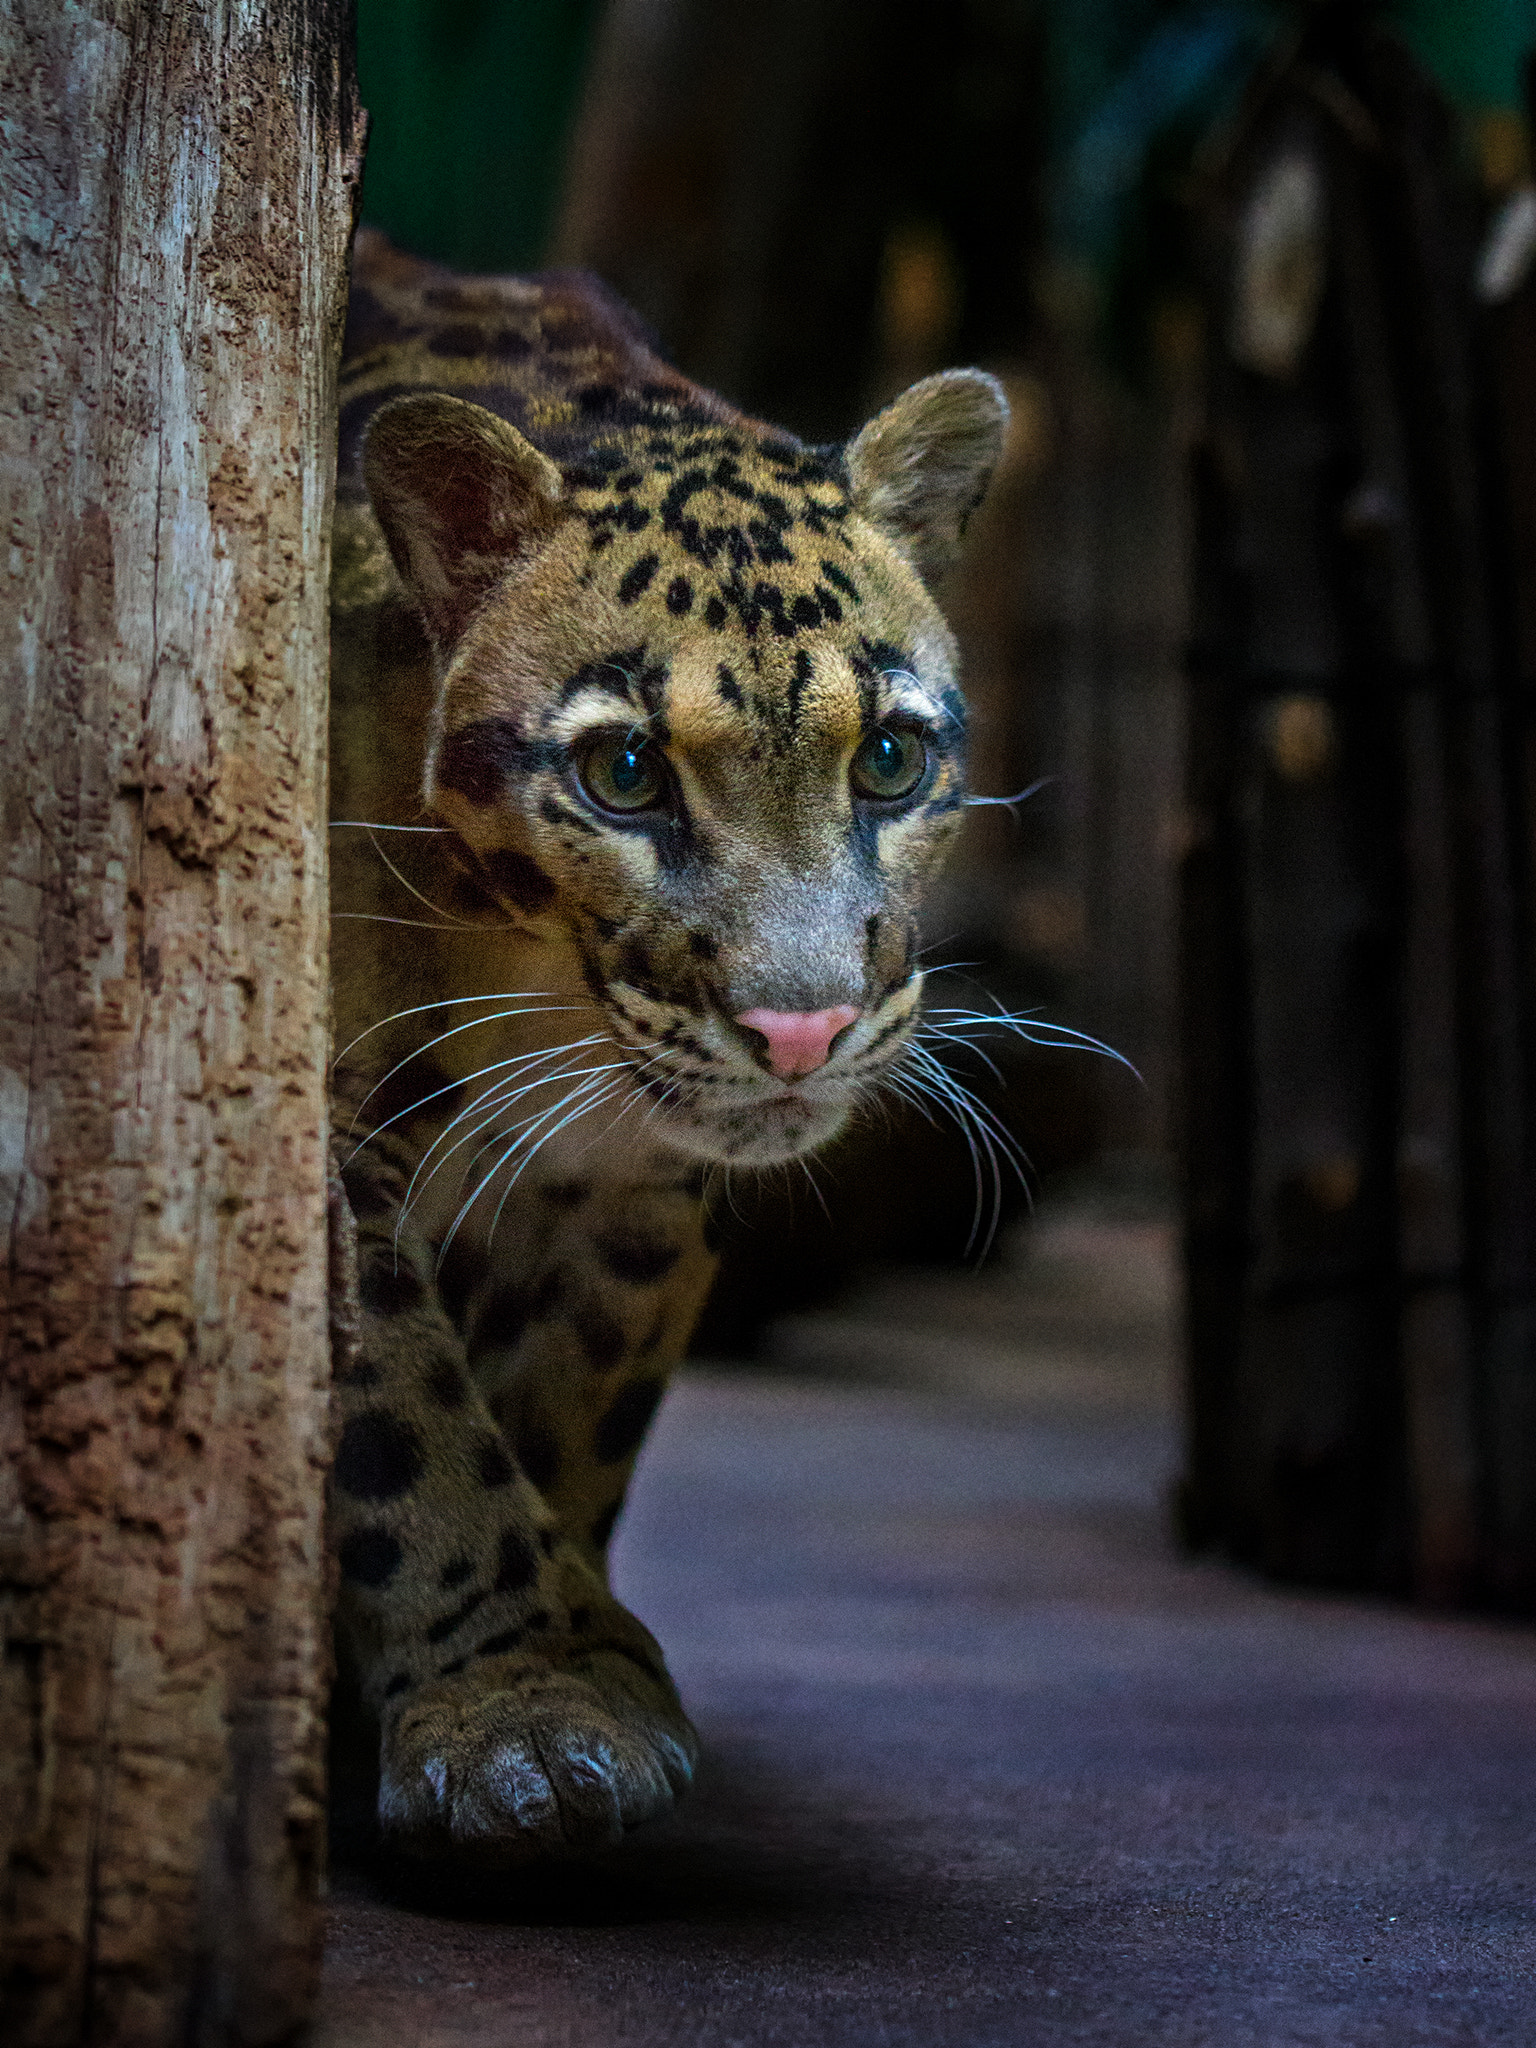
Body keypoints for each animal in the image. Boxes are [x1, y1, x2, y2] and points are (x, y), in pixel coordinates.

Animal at [327, 226, 1008, 1867]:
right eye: (626, 772)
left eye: (890, 756)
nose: (802, 1025)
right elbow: (406, 1430)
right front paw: (520, 1712)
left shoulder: (630, 1200)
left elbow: (572, 1416)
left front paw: (567, 1661)